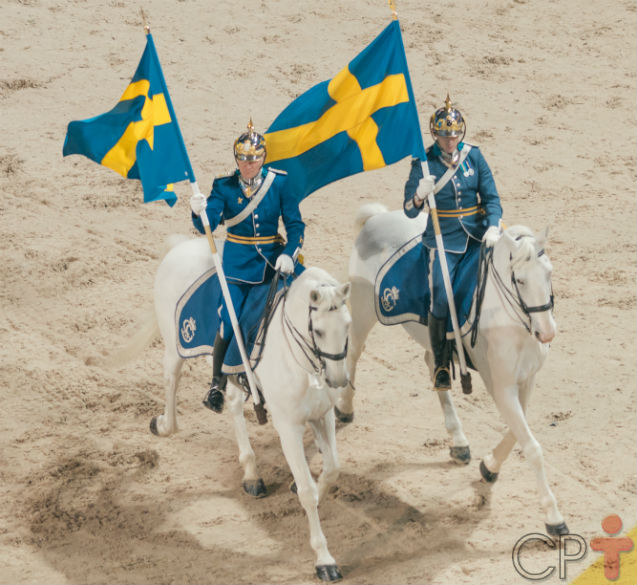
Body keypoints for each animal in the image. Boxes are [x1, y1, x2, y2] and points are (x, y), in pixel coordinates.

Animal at [115, 236, 352, 580]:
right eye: (318, 330)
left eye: (347, 325)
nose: (337, 380)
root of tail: (182, 245)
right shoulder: (288, 427)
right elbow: (308, 492)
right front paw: (324, 560)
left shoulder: (322, 416)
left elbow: (332, 468)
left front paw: (304, 487)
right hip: (176, 344)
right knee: (172, 379)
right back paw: (163, 425)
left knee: (235, 405)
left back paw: (251, 473)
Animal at [336, 203, 564, 536]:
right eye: (519, 280)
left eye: (549, 273)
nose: (546, 334)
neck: (511, 319)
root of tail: (377, 217)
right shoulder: (500, 386)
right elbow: (531, 446)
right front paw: (553, 517)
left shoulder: (526, 380)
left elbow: (516, 431)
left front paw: (489, 466)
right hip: (364, 309)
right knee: (353, 353)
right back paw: (344, 409)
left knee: (433, 367)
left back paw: (458, 441)